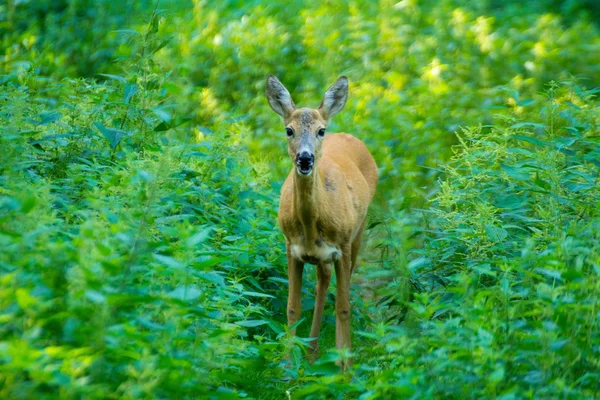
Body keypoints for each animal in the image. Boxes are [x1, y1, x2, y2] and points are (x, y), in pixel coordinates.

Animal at [266, 74, 378, 368]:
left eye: (320, 131)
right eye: (289, 130)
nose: (305, 158)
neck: (310, 225)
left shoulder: (343, 246)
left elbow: (344, 308)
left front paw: (345, 367)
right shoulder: (291, 247)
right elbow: (292, 307)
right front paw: (288, 365)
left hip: (359, 231)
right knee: (321, 282)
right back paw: (312, 351)